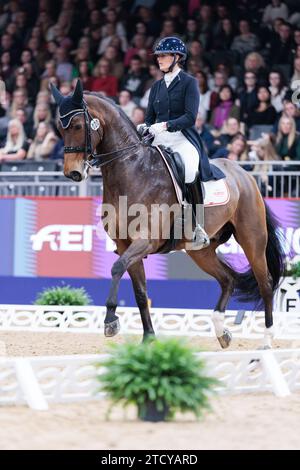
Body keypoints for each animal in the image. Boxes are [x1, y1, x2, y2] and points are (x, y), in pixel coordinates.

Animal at [51, 81, 284, 348]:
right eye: (60, 128)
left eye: (78, 126)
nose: (73, 173)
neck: (133, 171)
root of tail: (245, 175)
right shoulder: (125, 244)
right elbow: (140, 292)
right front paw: (148, 338)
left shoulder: (145, 240)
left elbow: (116, 268)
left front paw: (110, 320)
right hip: (201, 251)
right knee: (227, 279)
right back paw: (221, 332)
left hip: (252, 239)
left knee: (265, 284)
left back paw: (266, 340)